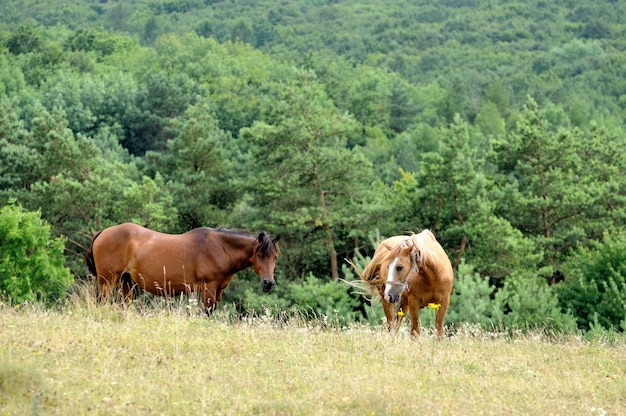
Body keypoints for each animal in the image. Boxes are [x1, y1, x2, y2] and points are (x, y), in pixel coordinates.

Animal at [84, 224, 280, 312]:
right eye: (260, 255)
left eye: (275, 257)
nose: (268, 283)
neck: (219, 248)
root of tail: (103, 232)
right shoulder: (208, 288)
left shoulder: (218, 290)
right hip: (107, 281)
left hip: (127, 282)